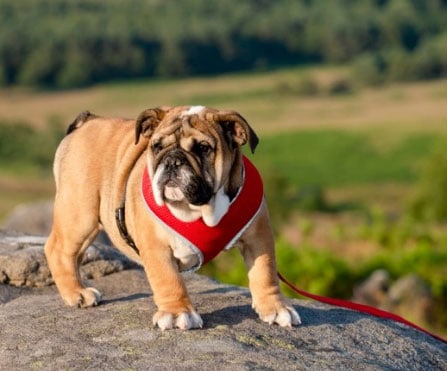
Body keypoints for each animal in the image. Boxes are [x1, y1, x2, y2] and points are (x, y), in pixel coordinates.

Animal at [45, 105, 300, 332]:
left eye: (203, 148)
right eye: (157, 147)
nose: (172, 160)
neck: (200, 208)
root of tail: (88, 120)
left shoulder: (259, 237)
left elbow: (265, 272)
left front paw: (275, 308)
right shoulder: (156, 247)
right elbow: (168, 279)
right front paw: (178, 313)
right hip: (80, 214)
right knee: (59, 250)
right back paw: (77, 293)